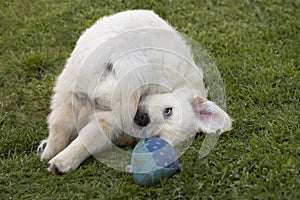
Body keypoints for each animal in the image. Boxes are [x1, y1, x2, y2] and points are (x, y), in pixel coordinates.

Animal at [36, 10, 231, 173]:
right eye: (169, 111)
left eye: (157, 137)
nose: (143, 119)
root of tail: (125, 53)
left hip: (74, 81)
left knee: (63, 121)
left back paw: (54, 156)